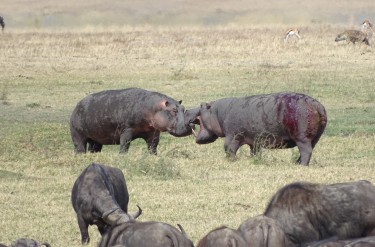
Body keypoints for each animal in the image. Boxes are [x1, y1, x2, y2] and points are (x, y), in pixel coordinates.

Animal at [187, 91, 328, 165]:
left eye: (202, 105)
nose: (187, 111)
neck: (217, 112)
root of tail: (318, 105)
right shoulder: (254, 141)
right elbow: (254, 152)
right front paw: (254, 160)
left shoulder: (232, 136)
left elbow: (229, 148)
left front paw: (232, 160)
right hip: (314, 138)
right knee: (308, 150)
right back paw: (297, 163)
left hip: (302, 138)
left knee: (306, 152)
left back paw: (301, 165)